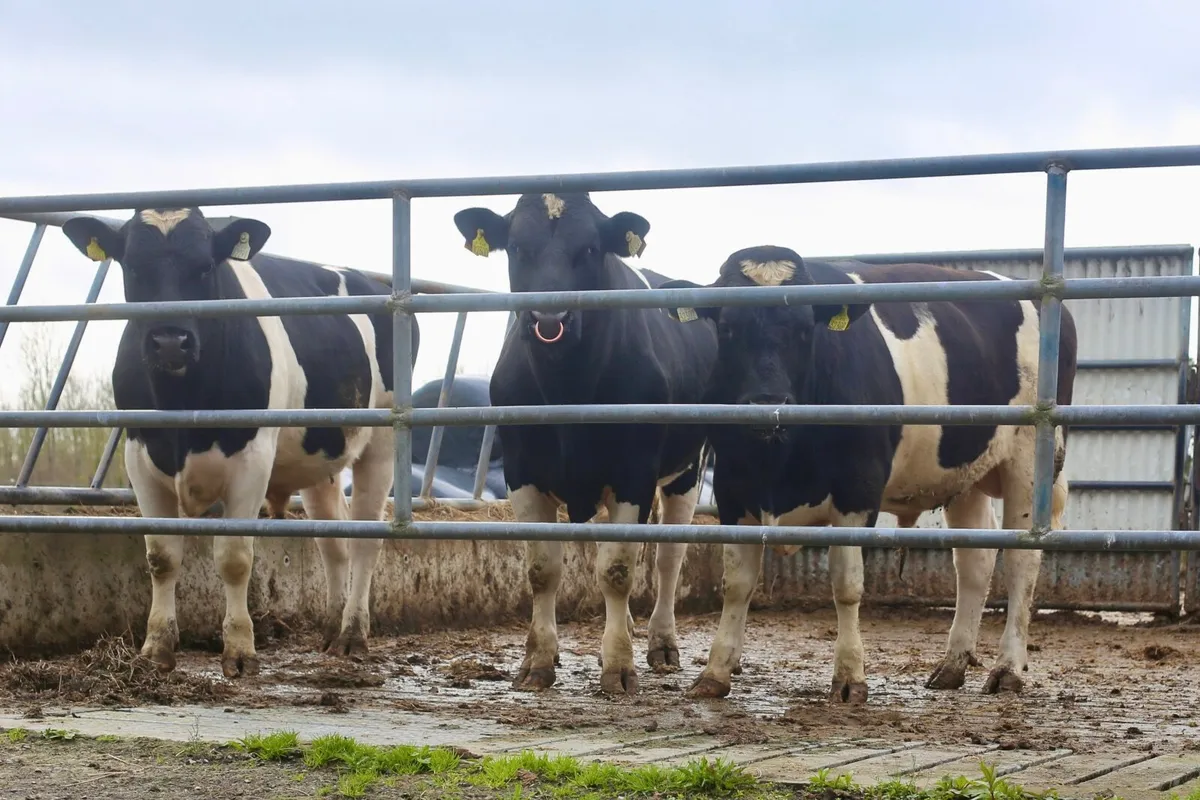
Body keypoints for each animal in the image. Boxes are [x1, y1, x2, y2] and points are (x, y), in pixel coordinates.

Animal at [61, 208, 419, 678]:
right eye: (133, 266)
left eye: (205, 267)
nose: (170, 341)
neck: (183, 407)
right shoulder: (139, 455)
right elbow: (161, 556)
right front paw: (156, 647)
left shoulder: (252, 459)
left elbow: (233, 558)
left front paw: (240, 650)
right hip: (318, 461)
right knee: (333, 541)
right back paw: (329, 629)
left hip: (382, 444)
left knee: (364, 540)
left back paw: (352, 634)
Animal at [451, 192, 718, 695]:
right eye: (517, 247)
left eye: (591, 249)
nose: (549, 318)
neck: (566, 385)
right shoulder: (521, 471)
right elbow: (542, 570)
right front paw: (538, 660)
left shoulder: (633, 472)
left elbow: (617, 571)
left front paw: (618, 664)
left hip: (688, 468)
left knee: (668, 559)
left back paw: (660, 643)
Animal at [660, 245, 1077, 702]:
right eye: (728, 327)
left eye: (805, 329)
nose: (767, 402)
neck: (779, 463)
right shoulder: (734, 487)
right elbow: (736, 582)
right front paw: (715, 672)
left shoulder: (857, 489)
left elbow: (846, 584)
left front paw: (849, 676)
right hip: (965, 472)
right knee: (974, 561)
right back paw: (952, 665)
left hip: (1033, 461)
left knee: (1023, 561)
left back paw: (1008, 669)